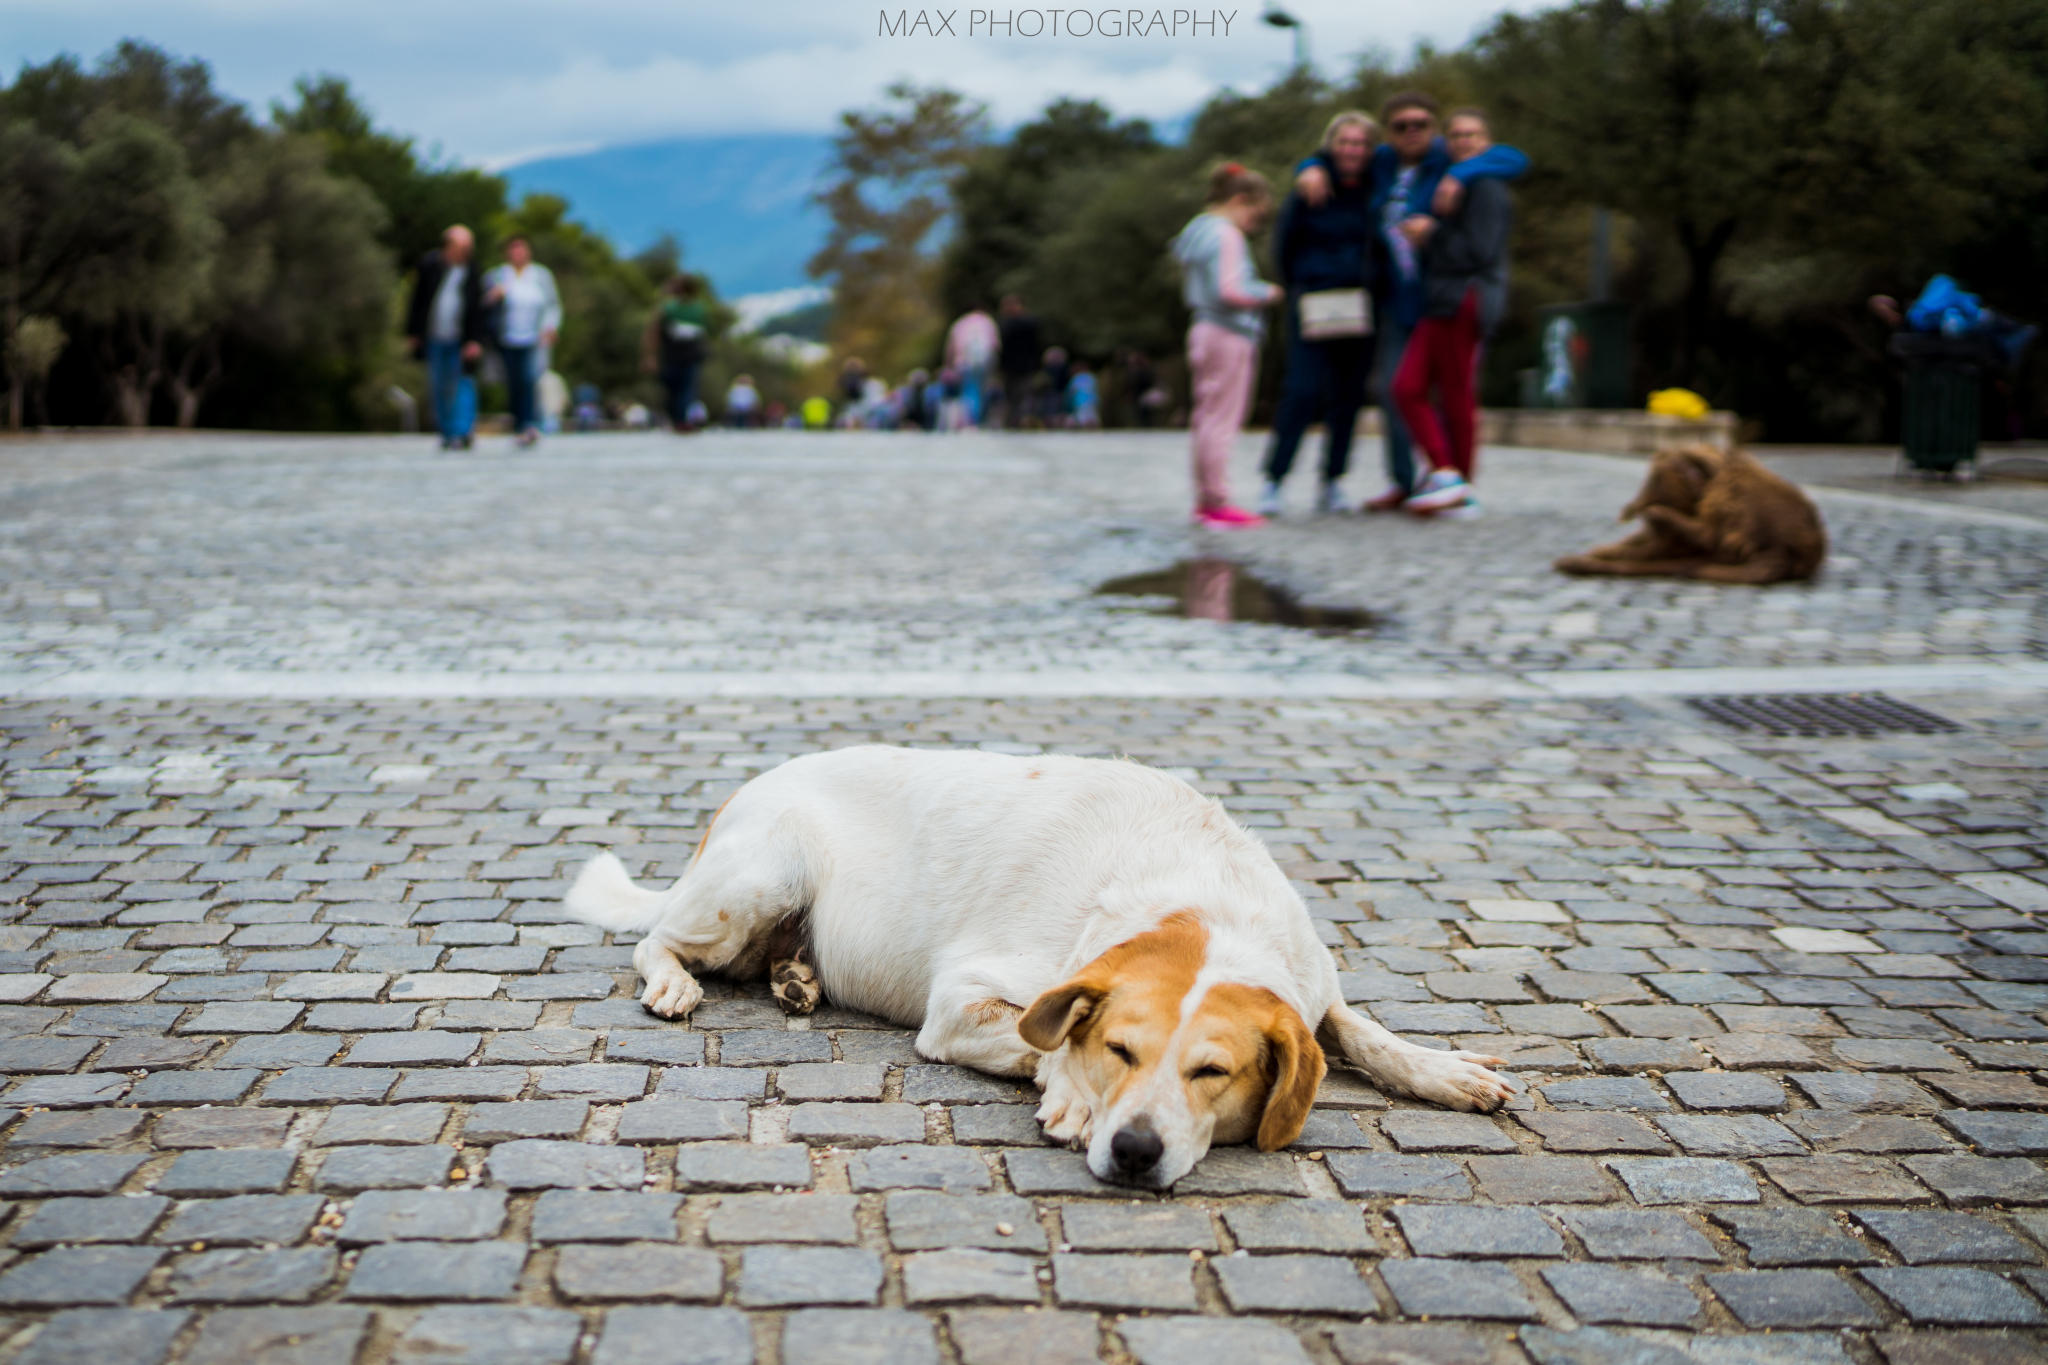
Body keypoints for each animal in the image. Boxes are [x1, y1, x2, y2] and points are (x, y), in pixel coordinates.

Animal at [569, 749, 1515, 1186]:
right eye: (1123, 1052)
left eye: (1213, 1071)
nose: (1134, 1150)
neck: (1202, 894)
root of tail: (745, 786)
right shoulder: (958, 1002)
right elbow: (1042, 1038)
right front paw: (1071, 1091)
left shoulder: (1310, 986)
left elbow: (1358, 1028)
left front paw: (1442, 1069)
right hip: (761, 878)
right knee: (654, 938)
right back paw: (675, 979)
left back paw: (795, 977)